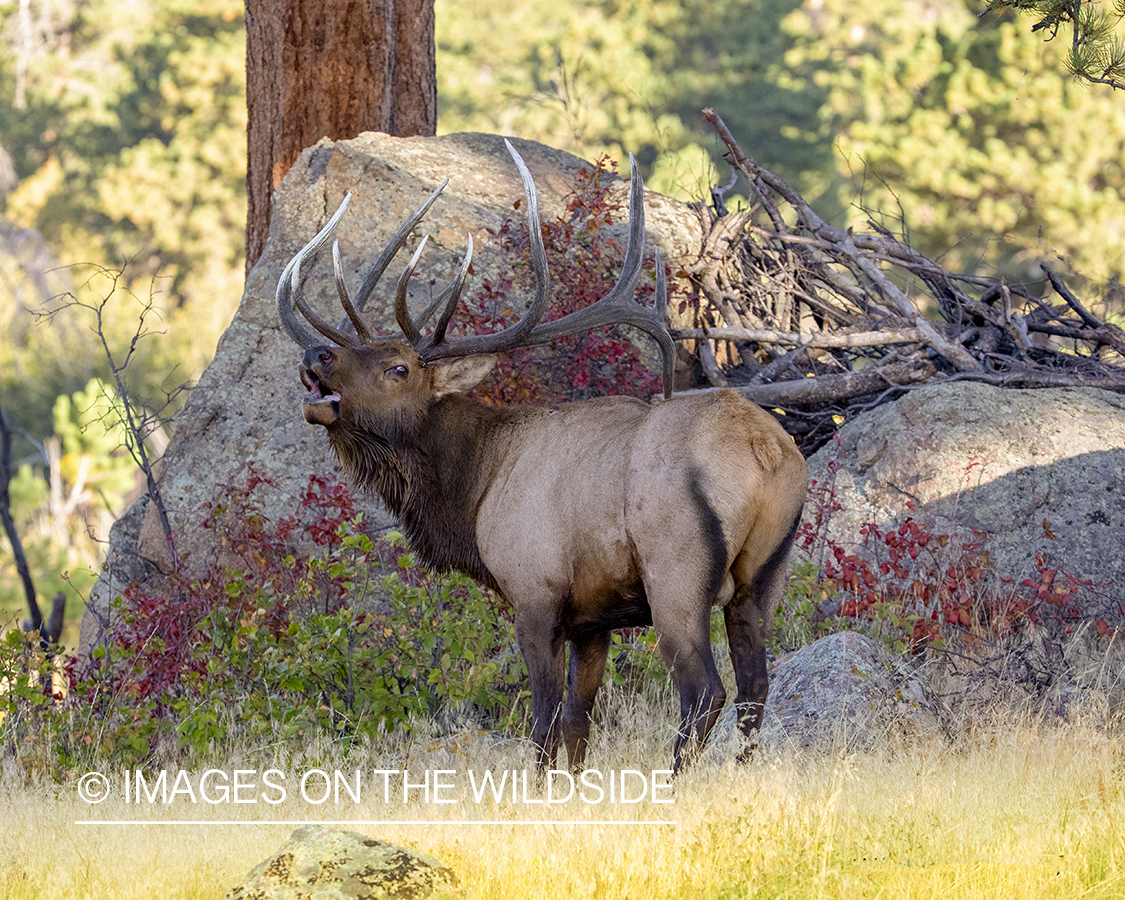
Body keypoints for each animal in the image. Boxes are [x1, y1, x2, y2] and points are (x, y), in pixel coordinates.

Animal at [281, 140, 810, 774]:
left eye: (398, 367)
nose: (316, 353)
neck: (473, 493)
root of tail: (765, 451)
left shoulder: (534, 591)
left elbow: (543, 722)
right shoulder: (593, 619)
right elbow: (579, 725)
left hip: (676, 571)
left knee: (705, 690)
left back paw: (675, 779)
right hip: (764, 578)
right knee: (756, 685)